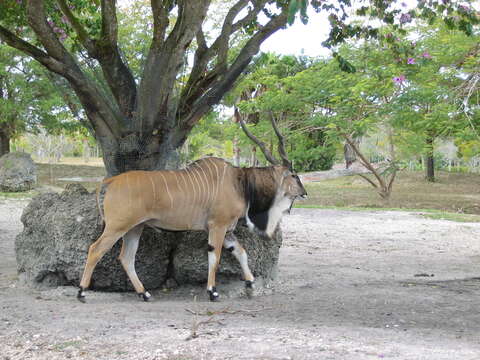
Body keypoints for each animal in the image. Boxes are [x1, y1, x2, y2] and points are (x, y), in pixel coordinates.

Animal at [77, 156, 306, 302]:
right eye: (294, 175)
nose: (304, 193)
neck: (238, 181)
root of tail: (113, 179)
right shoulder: (218, 226)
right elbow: (215, 257)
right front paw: (213, 292)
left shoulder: (227, 230)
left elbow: (241, 252)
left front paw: (250, 284)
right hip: (117, 226)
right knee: (95, 250)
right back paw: (81, 292)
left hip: (135, 228)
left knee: (126, 257)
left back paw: (145, 294)